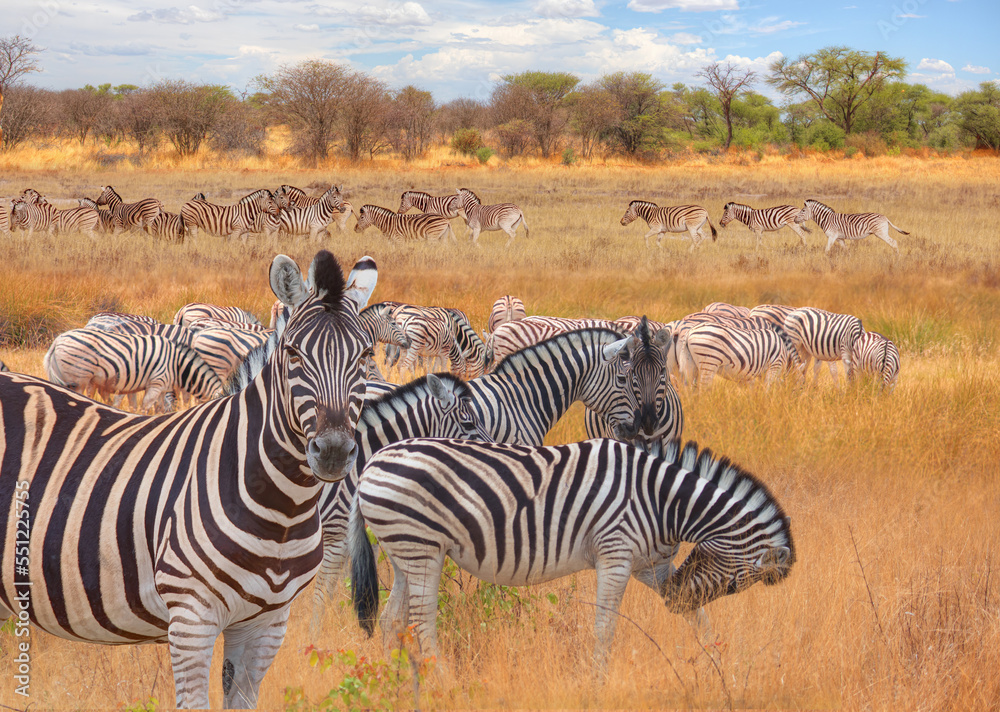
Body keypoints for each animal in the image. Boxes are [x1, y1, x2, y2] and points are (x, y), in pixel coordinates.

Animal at [43, 329, 223, 412]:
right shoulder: (156, 383)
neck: (177, 365)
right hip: (79, 378)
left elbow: (158, 408)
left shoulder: (161, 388)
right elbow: (145, 407)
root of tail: (57, 340)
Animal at [350, 437, 795, 674]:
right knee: (421, 622)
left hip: (407, 552)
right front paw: (597, 680)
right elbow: (605, 628)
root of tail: (372, 463)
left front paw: (718, 663)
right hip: (421, 547)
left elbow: (700, 619)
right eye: (736, 584)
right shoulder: (616, 554)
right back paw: (443, 680)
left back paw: (395, 676)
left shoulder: (651, 564)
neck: (663, 501)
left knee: (391, 621)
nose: (674, 601)